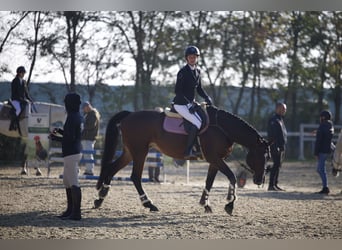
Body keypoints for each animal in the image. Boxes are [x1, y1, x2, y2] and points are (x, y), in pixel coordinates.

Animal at [94, 105, 270, 215]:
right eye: (261, 155)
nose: (260, 180)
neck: (222, 128)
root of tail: (129, 115)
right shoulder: (215, 158)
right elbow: (232, 177)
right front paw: (229, 204)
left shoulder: (215, 160)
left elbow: (209, 182)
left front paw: (205, 204)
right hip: (140, 152)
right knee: (135, 177)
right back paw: (149, 204)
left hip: (130, 152)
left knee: (111, 168)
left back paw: (100, 198)